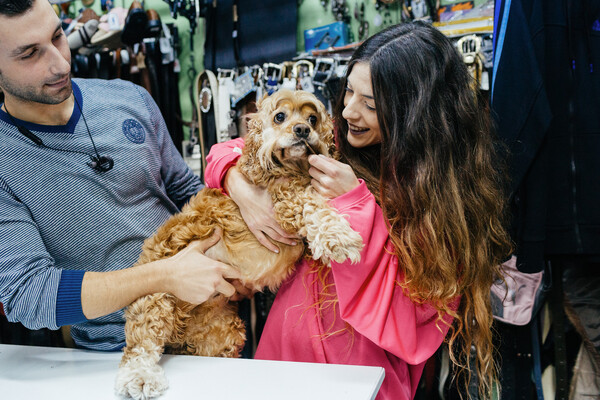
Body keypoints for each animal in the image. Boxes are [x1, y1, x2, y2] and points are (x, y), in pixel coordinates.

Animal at [115, 89, 364, 398]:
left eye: (313, 118)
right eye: (279, 116)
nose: (302, 130)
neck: (292, 168)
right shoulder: (285, 199)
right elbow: (314, 206)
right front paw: (341, 238)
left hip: (221, 332)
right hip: (156, 299)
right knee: (140, 345)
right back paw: (139, 377)